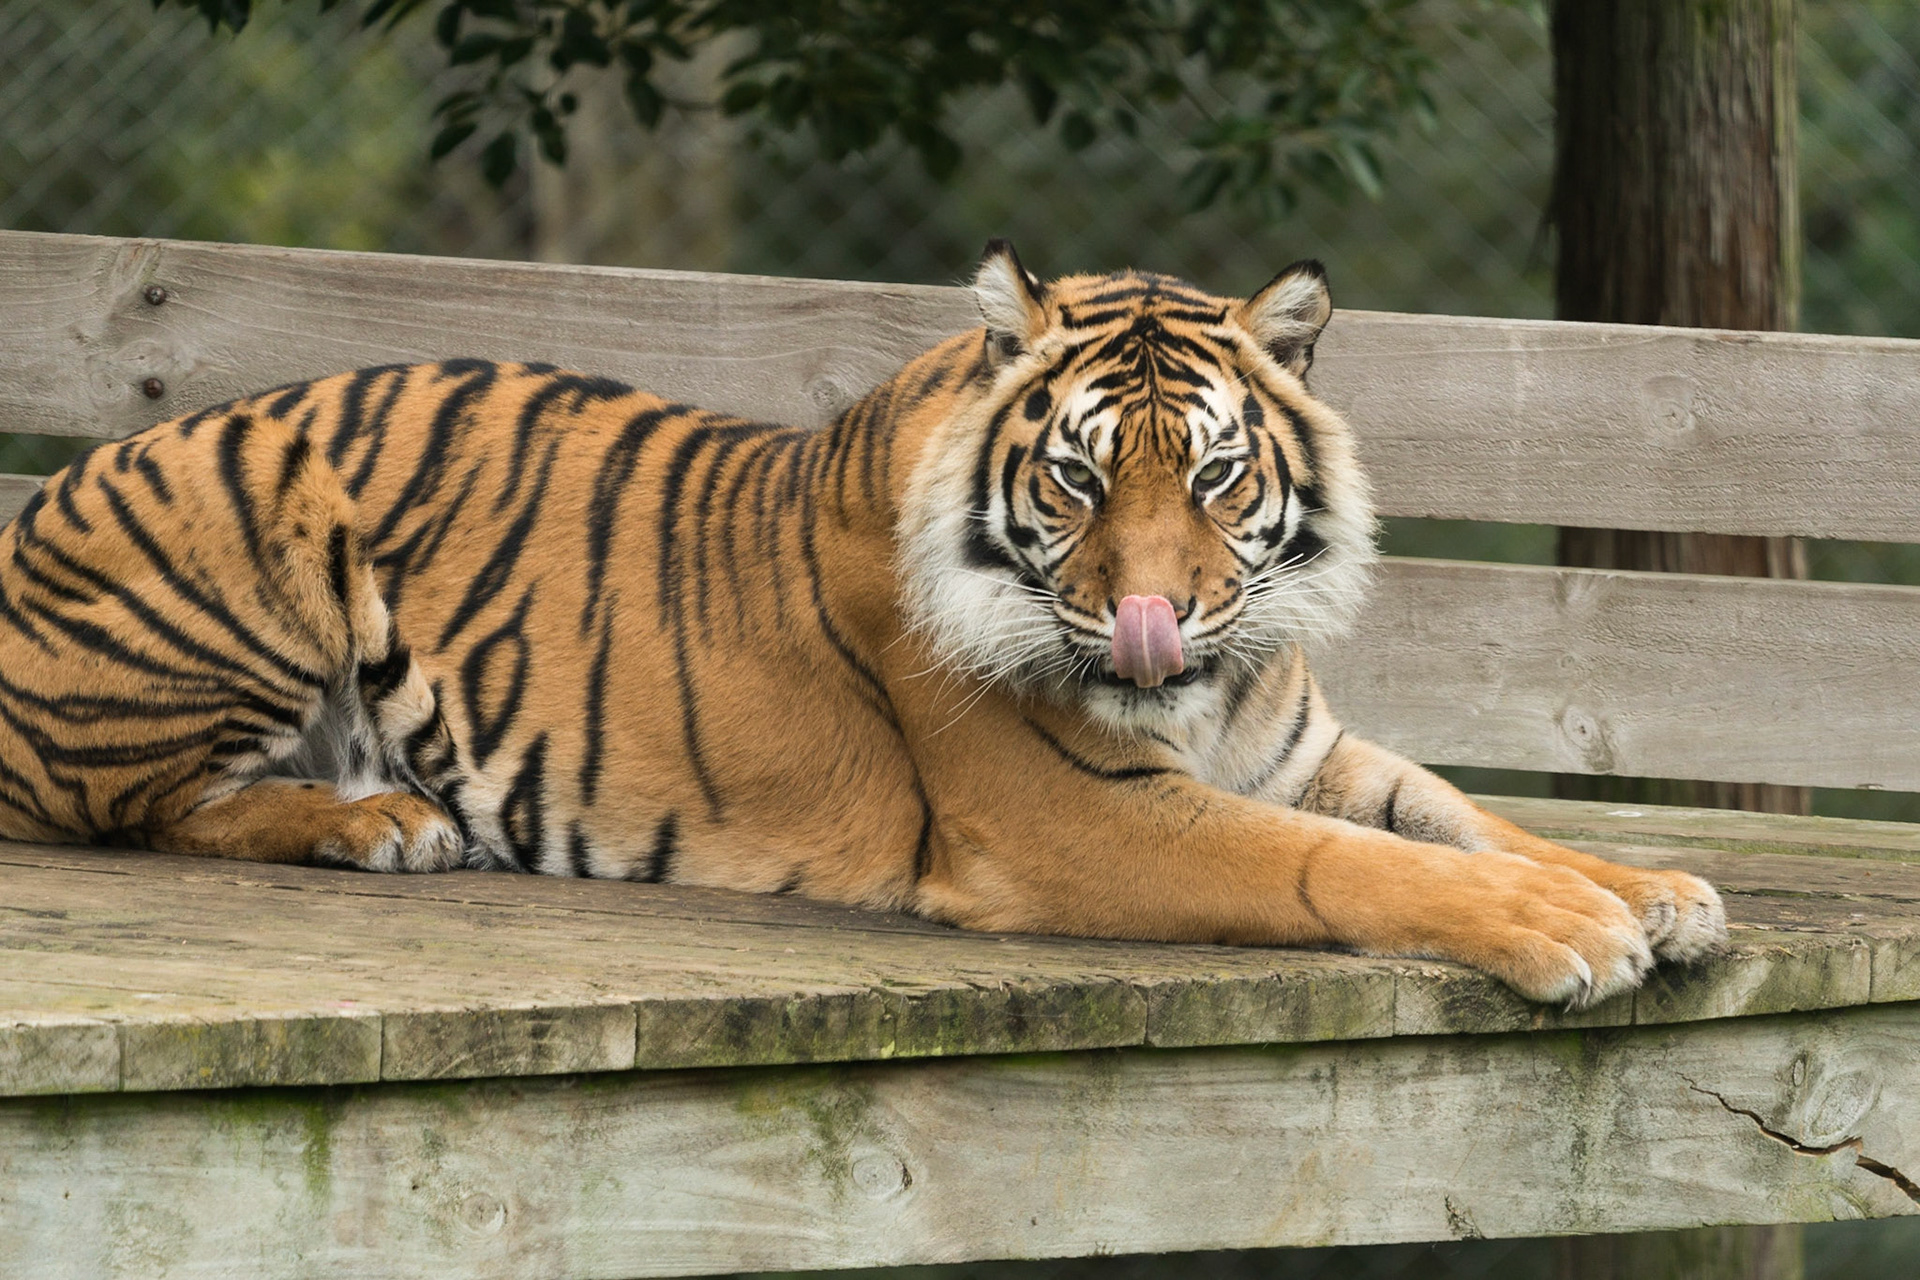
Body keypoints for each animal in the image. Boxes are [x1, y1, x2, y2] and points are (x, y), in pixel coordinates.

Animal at [0, 241, 1724, 1006]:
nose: (1155, 621)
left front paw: (1652, 890)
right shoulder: (1077, 817)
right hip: (254, 529)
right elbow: (1341, 867)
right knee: (137, 812)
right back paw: (376, 824)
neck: (1213, 689)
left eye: (1216, 476)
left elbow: (1462, 817)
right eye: (1079, 481)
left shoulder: (1301, 752)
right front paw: (1573, 930)